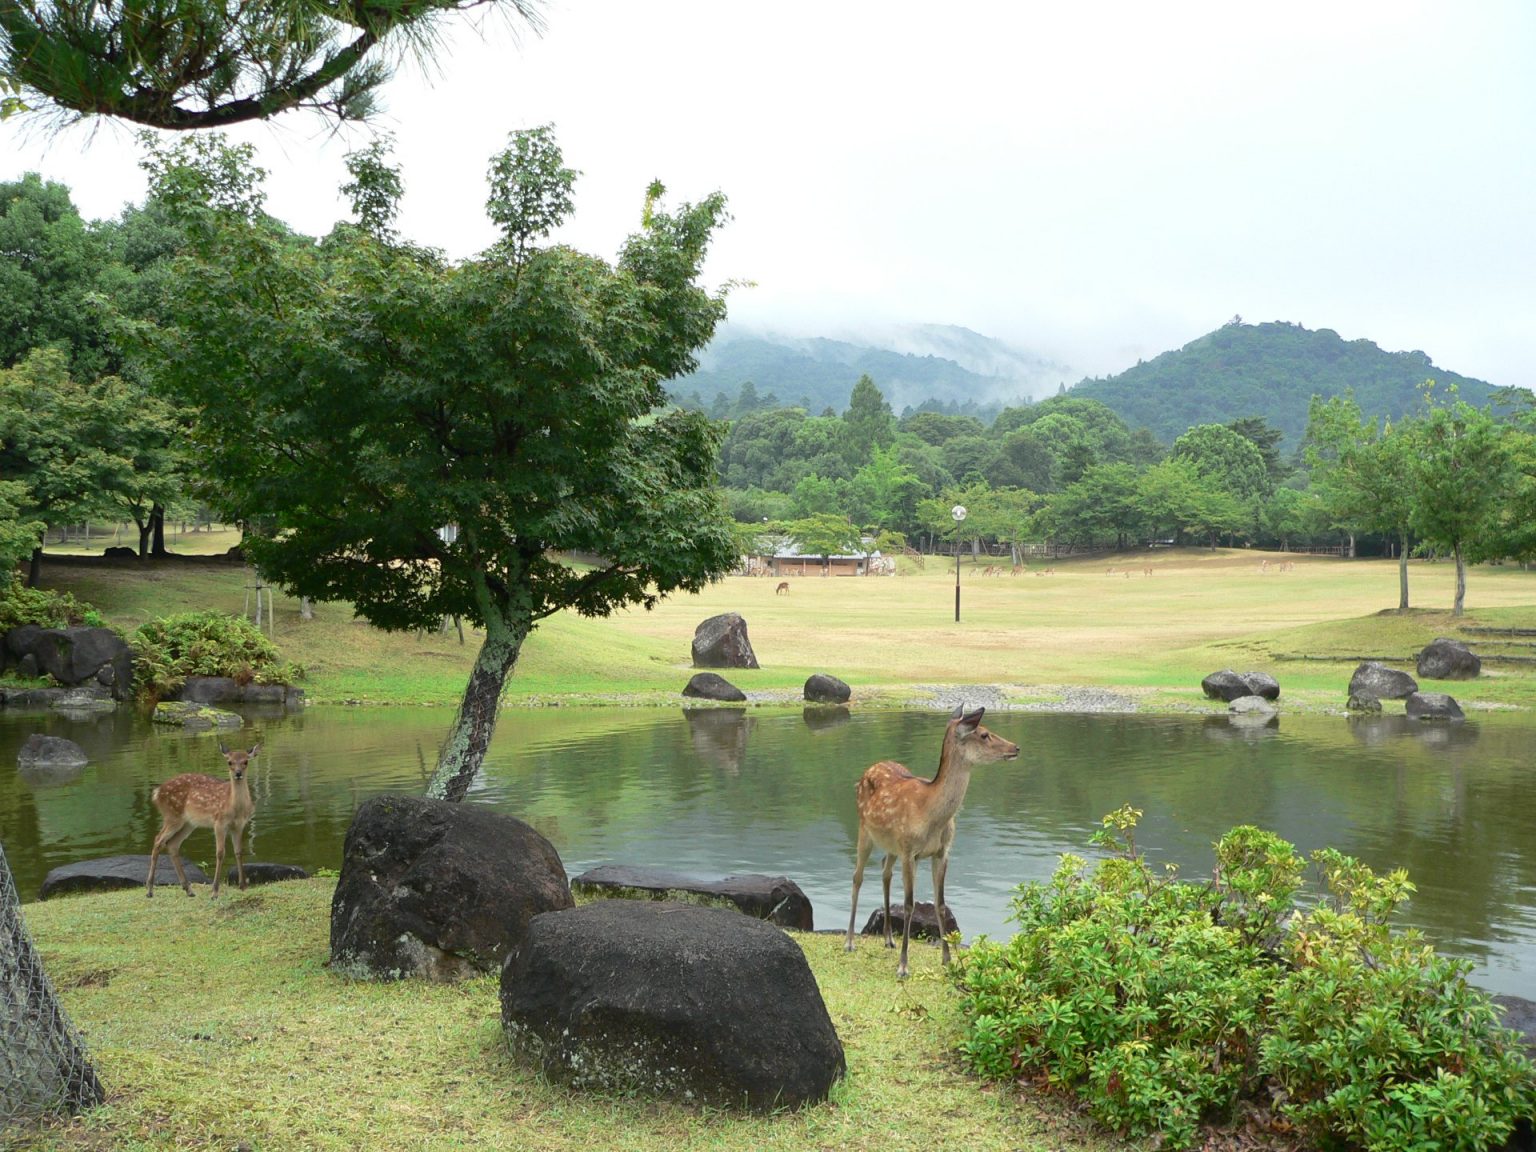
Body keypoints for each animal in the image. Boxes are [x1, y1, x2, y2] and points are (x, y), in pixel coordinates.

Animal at [145, 741, 261, 898]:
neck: (235, 808)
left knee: (172, 844)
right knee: (158, 840)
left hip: (188, 823)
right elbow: (220, 853)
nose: (238, 774)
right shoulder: (219, 822)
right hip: (172, 816)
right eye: (229, 762)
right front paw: (215, 891)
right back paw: (150, 890)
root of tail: (157, 793)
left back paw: (188, 889)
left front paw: (243, 886)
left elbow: (238, 851)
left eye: (245, 761)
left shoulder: (239, 825)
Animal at [845, 706, 1020, 978]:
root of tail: (866, 772)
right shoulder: (910, 851)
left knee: (885, 869)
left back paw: (888, 939)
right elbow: (909, 905)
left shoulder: (941, 852)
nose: (1015, 747)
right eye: (983, 734)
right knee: (857, 876)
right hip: (865, 829)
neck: (931, 815)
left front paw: (947, 960)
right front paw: (903, 966)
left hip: (891, 844)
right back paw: (850, 941)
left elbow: (941, 904)